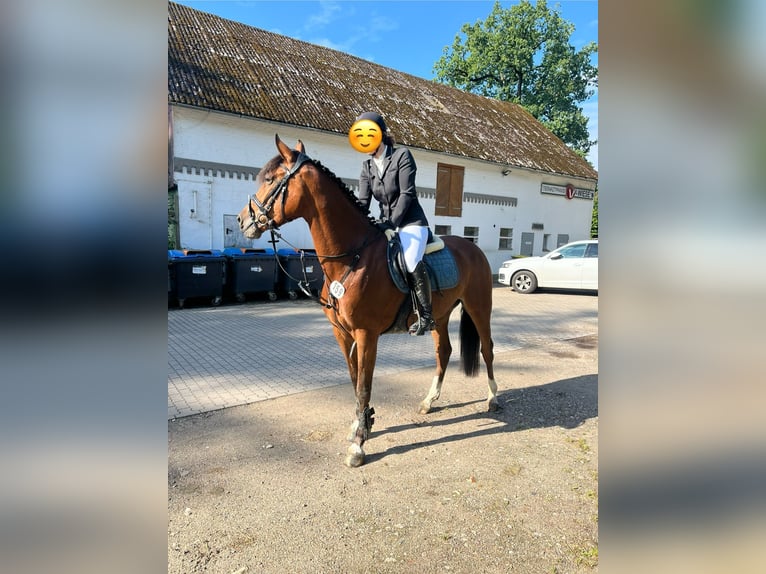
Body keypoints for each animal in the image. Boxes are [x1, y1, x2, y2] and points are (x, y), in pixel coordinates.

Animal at [238, 135, 498, 467]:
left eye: (271, 180)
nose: (242, 220)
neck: (351, 257)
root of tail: (473, 247)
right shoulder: (342, 333)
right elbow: (353, 379)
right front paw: (363, 423)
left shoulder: (366, 334)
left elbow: (363, 385)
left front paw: (359, 444)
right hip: (439, 315)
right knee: (444, 352)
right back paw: (429, 401)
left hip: (479, 307)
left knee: (487, 349)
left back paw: (493, 398)